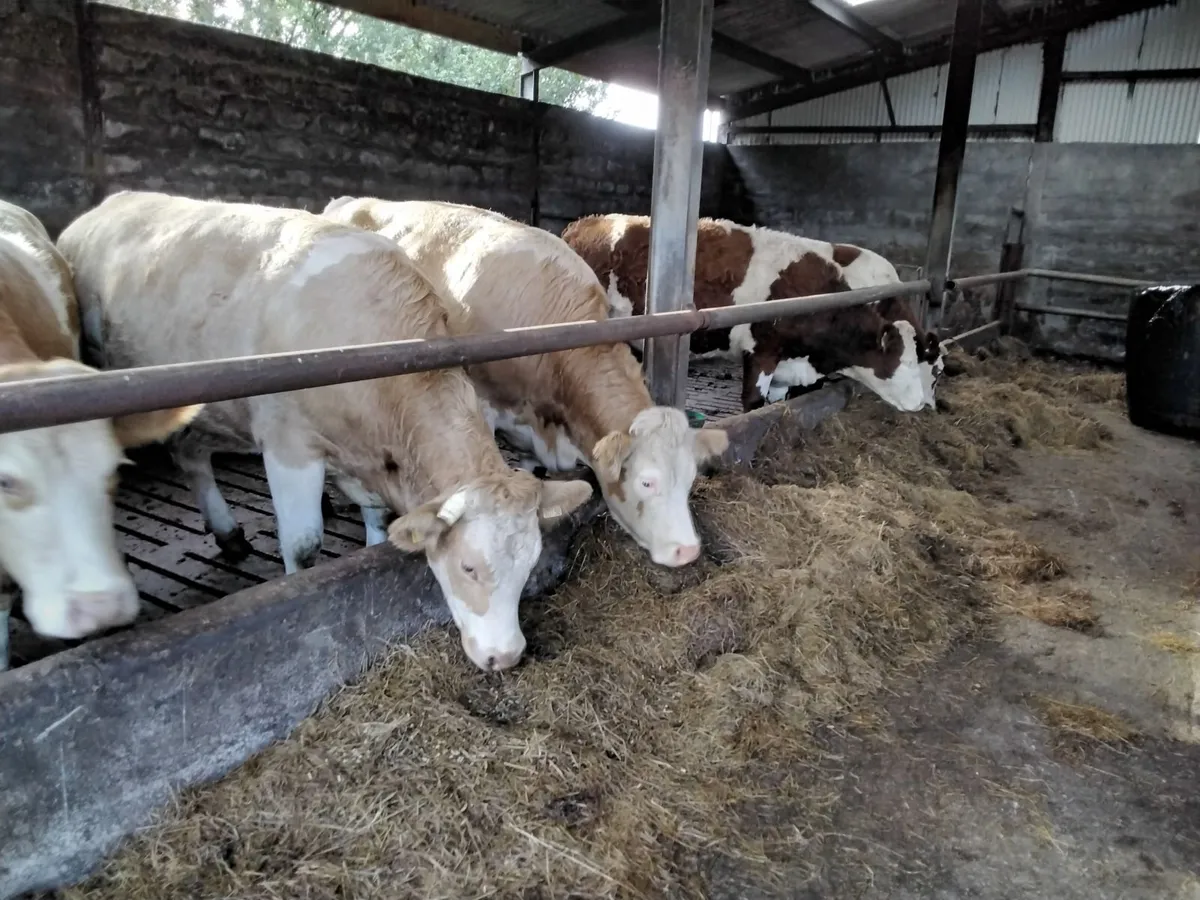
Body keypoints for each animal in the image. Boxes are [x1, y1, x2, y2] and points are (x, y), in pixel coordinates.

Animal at [57, 191, 592, 672]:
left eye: (529, 563)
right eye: (468, 568)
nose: (506, 656)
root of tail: (110, 205)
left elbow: (377, 522)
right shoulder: (288, 446)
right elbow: (303, 543)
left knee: (191, 456)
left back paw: (226, 530)